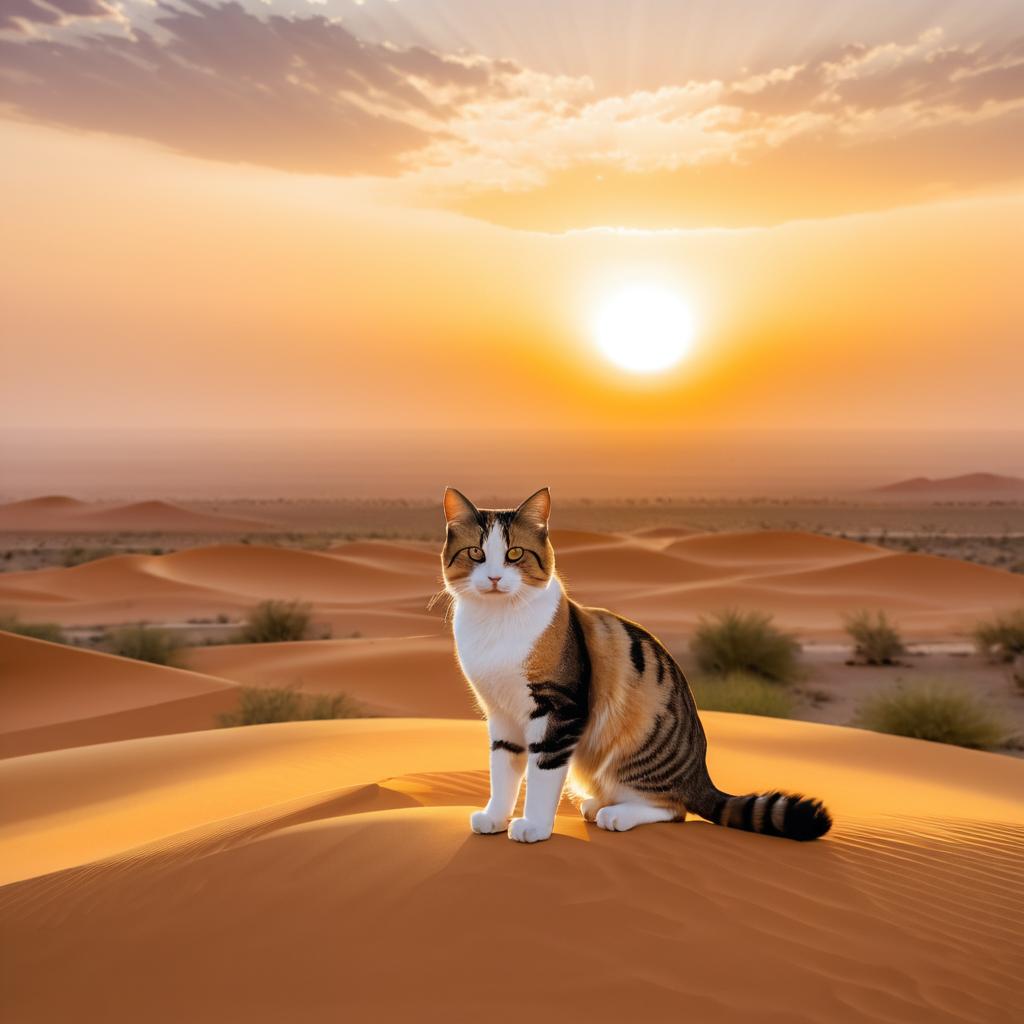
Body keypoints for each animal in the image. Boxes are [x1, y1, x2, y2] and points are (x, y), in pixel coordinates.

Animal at [440, 487, 831, 847]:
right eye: (476, 553)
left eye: (515, 553)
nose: (494, 578)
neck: (496, 625)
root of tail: (700, 775)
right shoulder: (501, 713)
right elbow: (502, 770)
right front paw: (495, 817)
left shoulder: (559, 710)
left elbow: (543, 772)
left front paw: (534, 827)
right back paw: (597, 805)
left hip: (637, 745)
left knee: (673, 809)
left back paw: (615, 814)